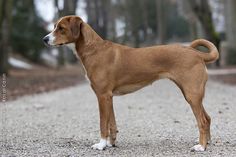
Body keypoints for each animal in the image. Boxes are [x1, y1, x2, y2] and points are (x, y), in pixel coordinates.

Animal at [43, 15, 218, 151]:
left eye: (61, 28)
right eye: (55, 27)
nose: (44, 39)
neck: (94, 49)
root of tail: (196, 53)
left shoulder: (102, 96)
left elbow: (103, 124)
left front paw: (101, 145)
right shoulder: (109, 97)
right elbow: (112, 124)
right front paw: (111, 144)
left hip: (191, 94)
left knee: (202, 121)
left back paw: (201, 147)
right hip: (192, 94)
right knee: (208, 117)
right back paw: (207, 142)